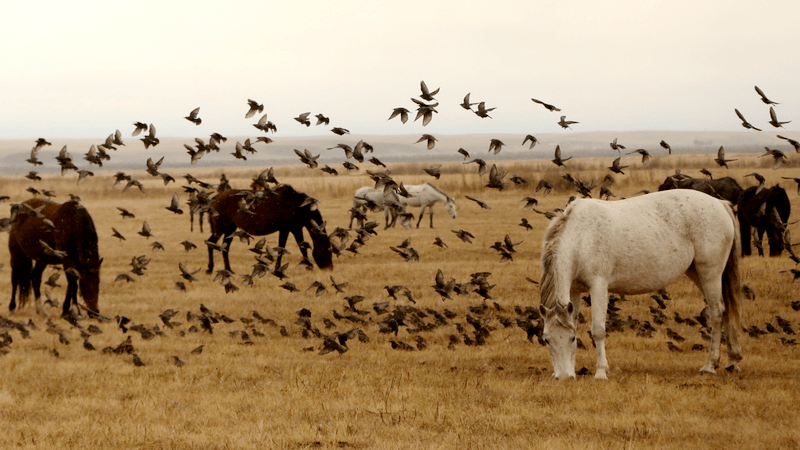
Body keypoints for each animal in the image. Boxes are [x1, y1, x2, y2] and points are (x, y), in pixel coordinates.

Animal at [206, 184, 334, 274]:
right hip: (221, 227)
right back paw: (210, 269)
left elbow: (301, 247)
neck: (298, 206)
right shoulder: (288, 229)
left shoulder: (295, 229)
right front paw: (279, 269)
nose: (330, 268)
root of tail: (214, 198)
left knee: (225, 247)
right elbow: (285, 248)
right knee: (211, 242)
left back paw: (229, 270)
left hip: (231, 228)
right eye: (327, 249)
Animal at [536, 189, 744, 380]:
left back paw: (710, 366)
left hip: (710, 273)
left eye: (571, 338)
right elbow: (575, 322)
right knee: (724, 310)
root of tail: (720, 204)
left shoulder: (598, 286)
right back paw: (732, 360)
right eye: (546, 340)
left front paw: (601, 372)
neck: (581, 236)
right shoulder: (574, 290)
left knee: (716, 313)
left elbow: (598, 331)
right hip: (698, 273)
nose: (564, 376)